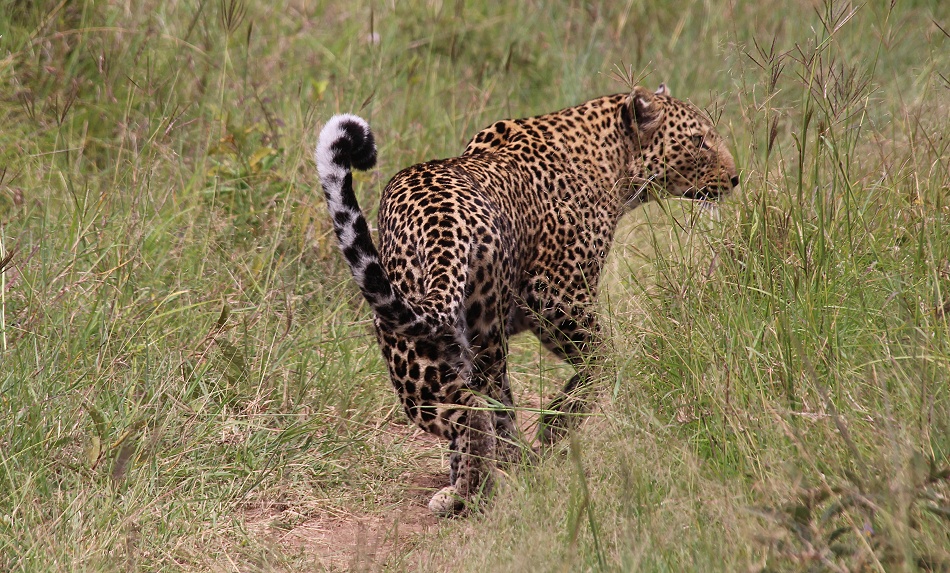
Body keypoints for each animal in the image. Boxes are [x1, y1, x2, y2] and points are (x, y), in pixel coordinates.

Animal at [314, 84, 738, 516]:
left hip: (428, 335)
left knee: (474, 405)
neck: (613, 160)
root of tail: (442, 226)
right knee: (484, 411)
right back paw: (484, 484)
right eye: (699, 141)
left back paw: (476, 481)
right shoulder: (559, 297)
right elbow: (601, 363)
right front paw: (555, 430)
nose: (735, 178)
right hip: (454, 342)